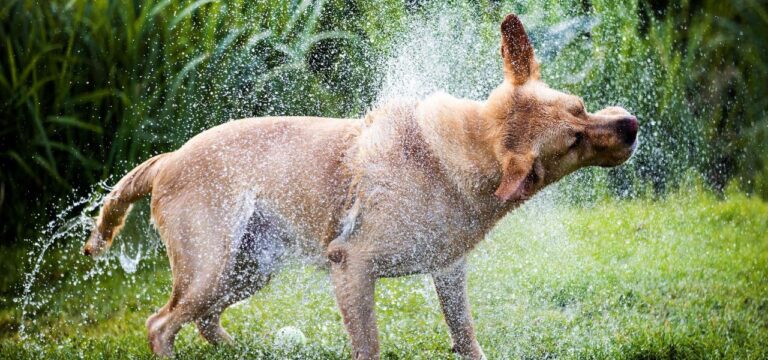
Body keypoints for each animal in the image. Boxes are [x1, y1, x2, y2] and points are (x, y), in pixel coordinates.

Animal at [82, 14, 636, 360]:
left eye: (581, 106)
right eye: (574, 140)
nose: (630, 124)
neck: (453, 158)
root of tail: (168, 158)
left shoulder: (448, 270)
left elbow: (465, 335)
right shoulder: (351, 265)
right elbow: (368, 345)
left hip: (247, 269)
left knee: (201, 321)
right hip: (210, 267)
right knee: (161, 324)